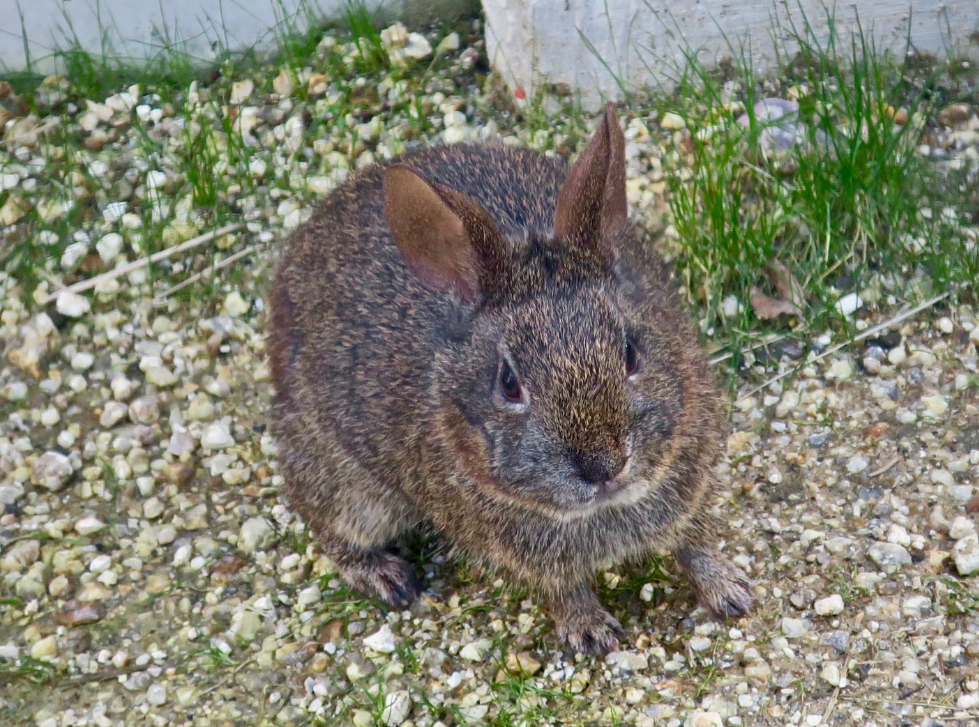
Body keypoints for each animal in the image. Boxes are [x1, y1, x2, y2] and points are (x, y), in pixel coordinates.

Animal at [264, 104, 756, 656]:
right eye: (508, 383)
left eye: (631, 352)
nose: (603, 467)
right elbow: (561, 588)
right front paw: (591, 632)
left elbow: (696, 540)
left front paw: (730, 590)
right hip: (344, 478)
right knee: (331, 525)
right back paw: (384, 576)